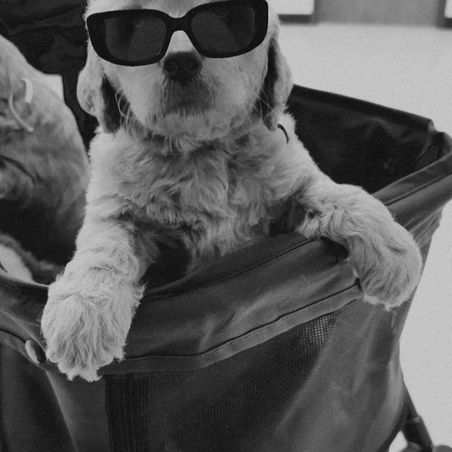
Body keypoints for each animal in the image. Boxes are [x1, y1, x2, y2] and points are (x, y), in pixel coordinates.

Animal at [41, 0, 423, 382]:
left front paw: (393, 254)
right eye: (132, 24)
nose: (181, 61)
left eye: (228, 16)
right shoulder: (116, 210)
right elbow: (104, 248)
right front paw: (82, 316)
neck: (202, 150)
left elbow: (338, 195)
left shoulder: (291, 181)